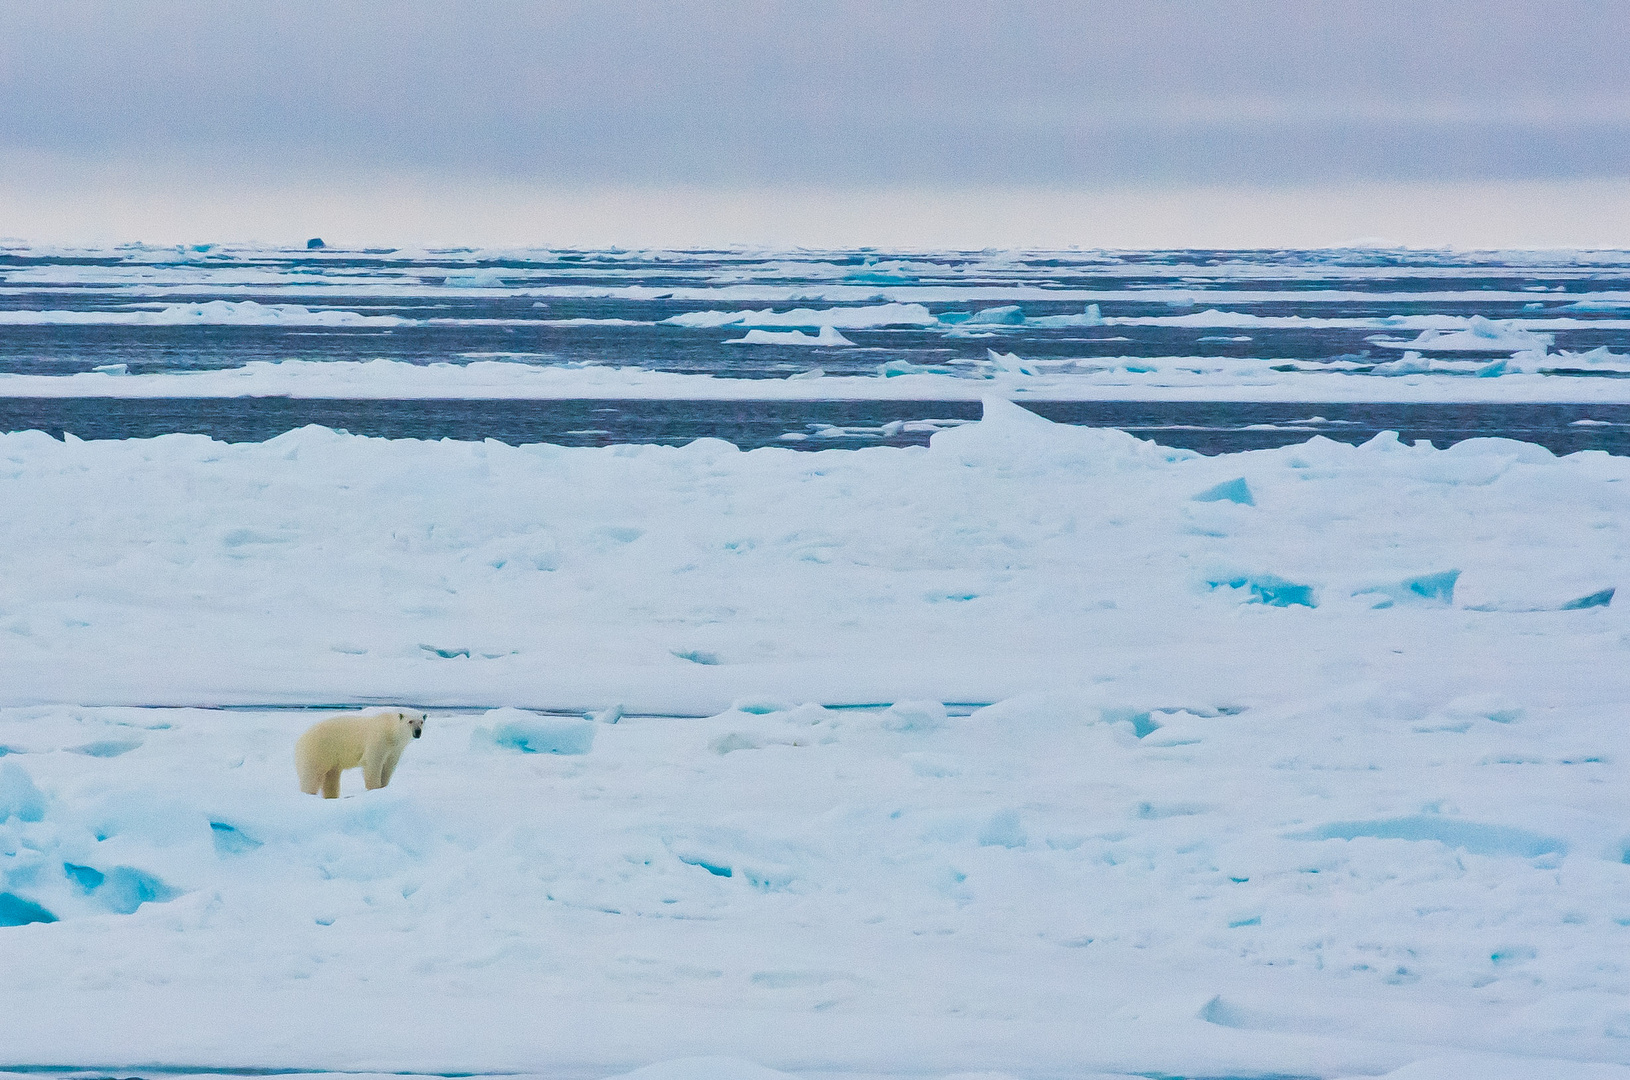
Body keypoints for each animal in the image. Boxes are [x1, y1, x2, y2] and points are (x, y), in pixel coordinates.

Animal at [296, 710, 427, 801]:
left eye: (421, 721)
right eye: (410, 721)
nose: (417, 732)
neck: (390, 730)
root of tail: (300, 740)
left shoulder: (395, 749)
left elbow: (389, 766)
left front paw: (384, 786)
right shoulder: (378, 739)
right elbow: (373, 763)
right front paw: (374, 788)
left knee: (331, 778)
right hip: (318, 751)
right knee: (312, 776)